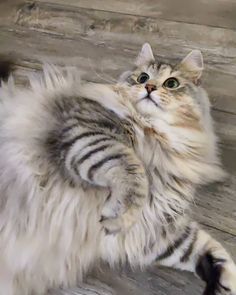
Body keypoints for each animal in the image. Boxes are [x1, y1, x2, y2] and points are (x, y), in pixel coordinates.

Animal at [0, 42, 235, 295]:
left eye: (171, 83)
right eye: (143, 77)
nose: (149, 87)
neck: (157, 139)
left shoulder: (154, 228)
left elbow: (206, 248)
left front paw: (223, 282)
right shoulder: (86, 132)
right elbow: (132, 171)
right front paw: (119, 214)